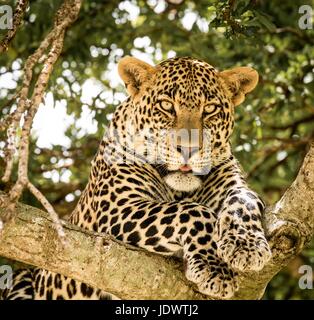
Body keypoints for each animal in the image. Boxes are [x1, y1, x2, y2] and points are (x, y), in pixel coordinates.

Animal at [1, 55, 272, 300]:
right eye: (166, 106)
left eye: (210, 109)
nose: (188, 150)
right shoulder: (117, 207)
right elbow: (191, 210)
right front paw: (214, 268)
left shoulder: (231, 183)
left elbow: (244, 199)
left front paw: (246, 245)